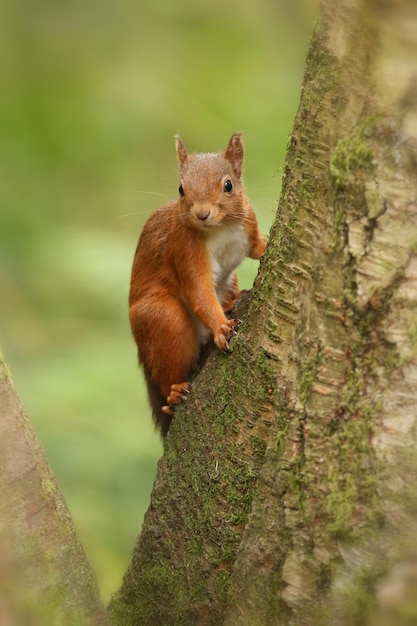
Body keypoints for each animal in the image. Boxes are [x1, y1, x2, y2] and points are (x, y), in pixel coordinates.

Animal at [128, 133, 266, 434]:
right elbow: (198, 291)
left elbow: (258, 249)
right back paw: (174, 392)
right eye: (181, 189)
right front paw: (222, 328)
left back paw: (233, 300)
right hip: (163, 319)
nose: (202, 213)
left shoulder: (248, 225)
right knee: (168, 369)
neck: (220, 228)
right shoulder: (185, 249)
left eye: (228, 185)